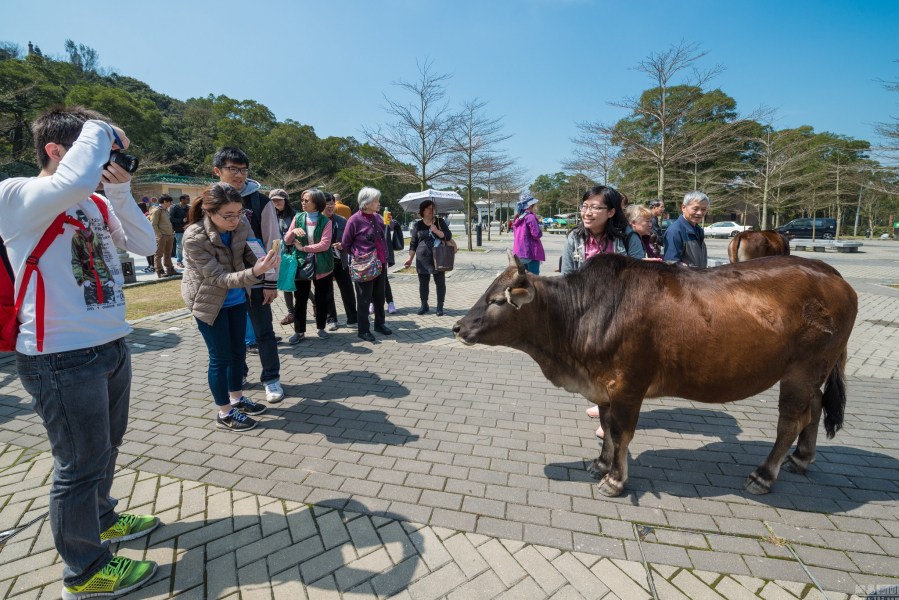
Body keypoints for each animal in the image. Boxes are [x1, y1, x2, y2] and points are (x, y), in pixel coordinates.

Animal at [458, 252, 856, 496]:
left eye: (497, 300)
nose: (459, 327)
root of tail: (831, 273)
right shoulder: (605, 387)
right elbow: (607, 429)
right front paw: (600, 464)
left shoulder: (628, 387)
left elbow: (621, 434)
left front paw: (615, 480)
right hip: (812, 372)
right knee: (815, 408)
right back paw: (801, 458)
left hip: (803, 370)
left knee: (791, 420)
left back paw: (763, 475)